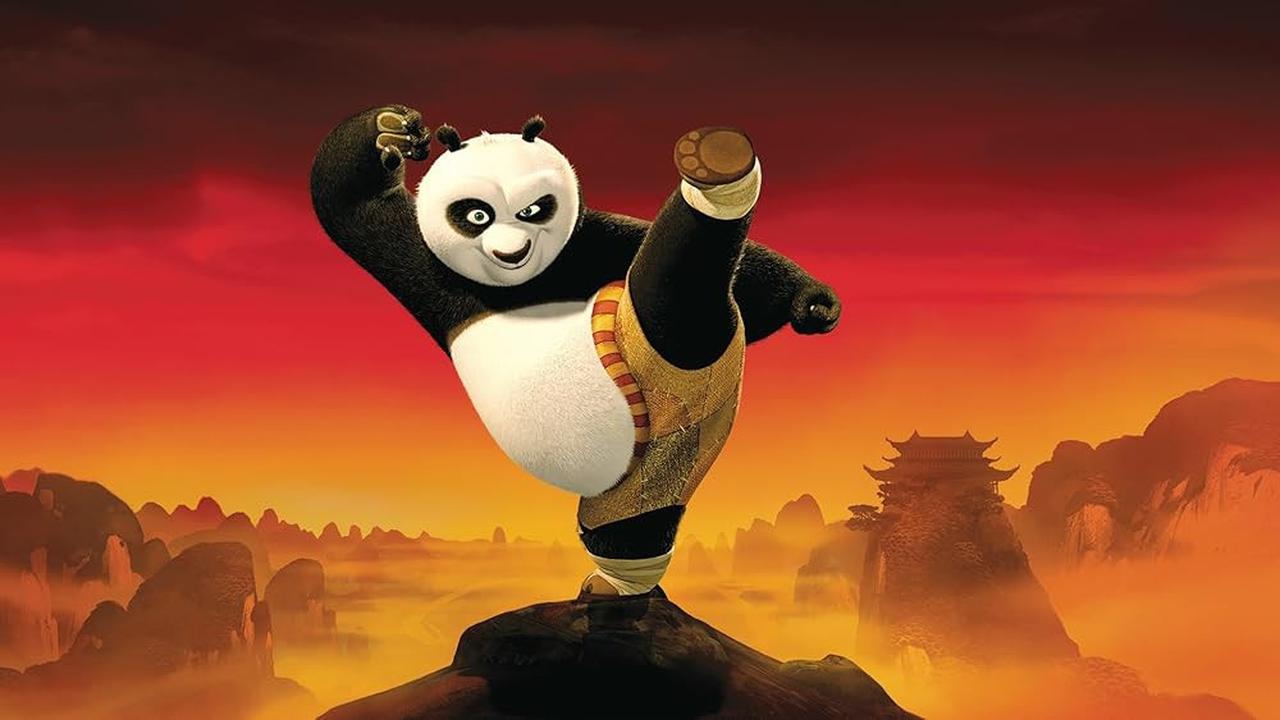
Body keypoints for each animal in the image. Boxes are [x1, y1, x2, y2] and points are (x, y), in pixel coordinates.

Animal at [310, 105, 841, 597]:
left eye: (534, 210)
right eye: (477, 214)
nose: (511, 252)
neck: (526, 285)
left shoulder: (592, 243)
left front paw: (812, 302)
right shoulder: (426, 266)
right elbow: (356, 211)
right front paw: (390, 129)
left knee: (679, 295)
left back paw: (712, 176)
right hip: (645, 464)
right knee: (627, 520)